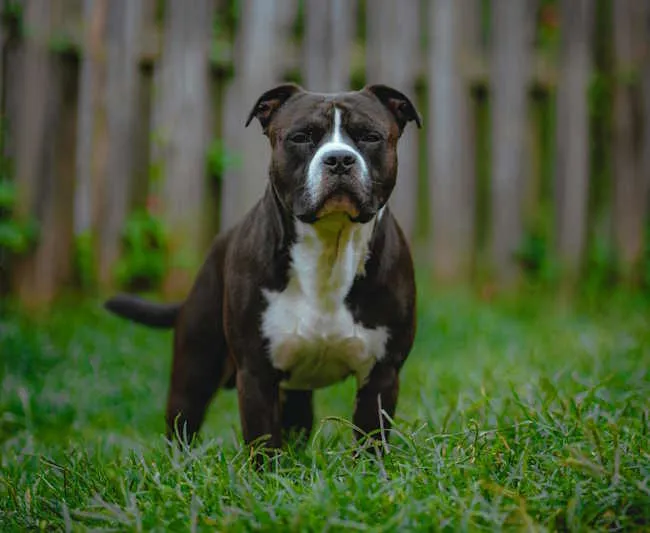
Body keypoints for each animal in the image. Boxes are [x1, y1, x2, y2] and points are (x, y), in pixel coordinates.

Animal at [104, 82, 420, 454]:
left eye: (369, 136)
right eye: (301, 137)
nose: (340, 159)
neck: (329, 248)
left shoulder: (382, 374)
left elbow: (371, 442)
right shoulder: (256, 374)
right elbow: (265, 445)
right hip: (195, 366)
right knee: (182, 424)